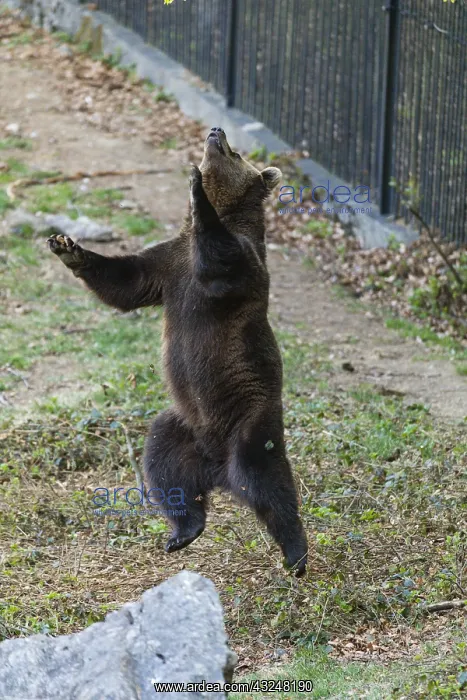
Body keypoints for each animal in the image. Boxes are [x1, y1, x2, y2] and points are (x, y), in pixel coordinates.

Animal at [48, 127, 308, 576]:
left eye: (235, 152)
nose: (216, 132)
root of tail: (218, 468)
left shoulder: (236, 266)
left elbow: (221, 257)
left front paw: (196, 189)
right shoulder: (166, 266)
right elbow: (125, 282)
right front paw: (67, 247)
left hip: (251, 418)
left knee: (268, 481)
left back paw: (296, 554)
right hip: (182, 427)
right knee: (163, 465)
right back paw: (183, 531)